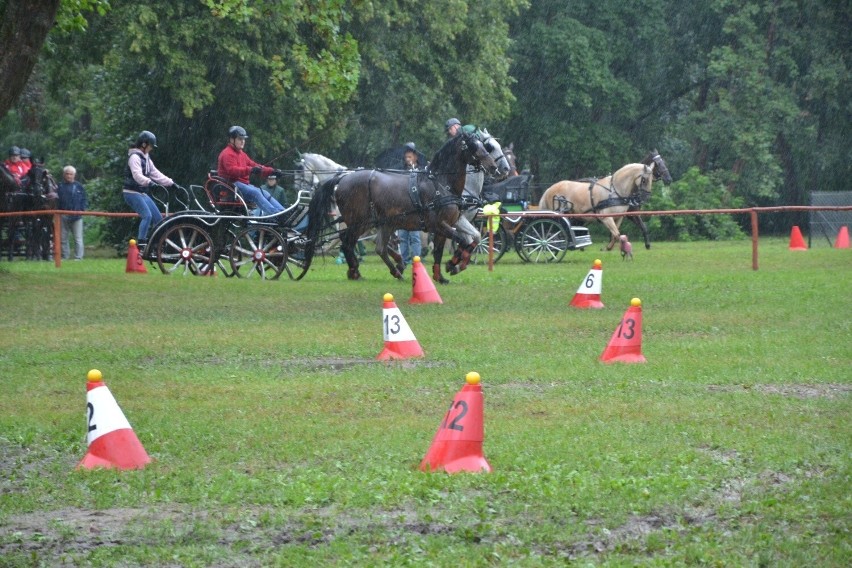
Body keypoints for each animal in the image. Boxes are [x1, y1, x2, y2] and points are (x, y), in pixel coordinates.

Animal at [304, 129, 500, 280]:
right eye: (474, 146)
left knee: (378, 247)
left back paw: (395, 269)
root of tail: (343, 178)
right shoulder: (438, 225)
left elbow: (468, 240)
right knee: (347, 242)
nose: (494, 167)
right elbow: (462, 241)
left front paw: (445, 273)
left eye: (484, 146)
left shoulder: (453, 221)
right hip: (360, 223)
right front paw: (453, 263)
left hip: (382, 223)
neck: (441, 184)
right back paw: (355, 271)